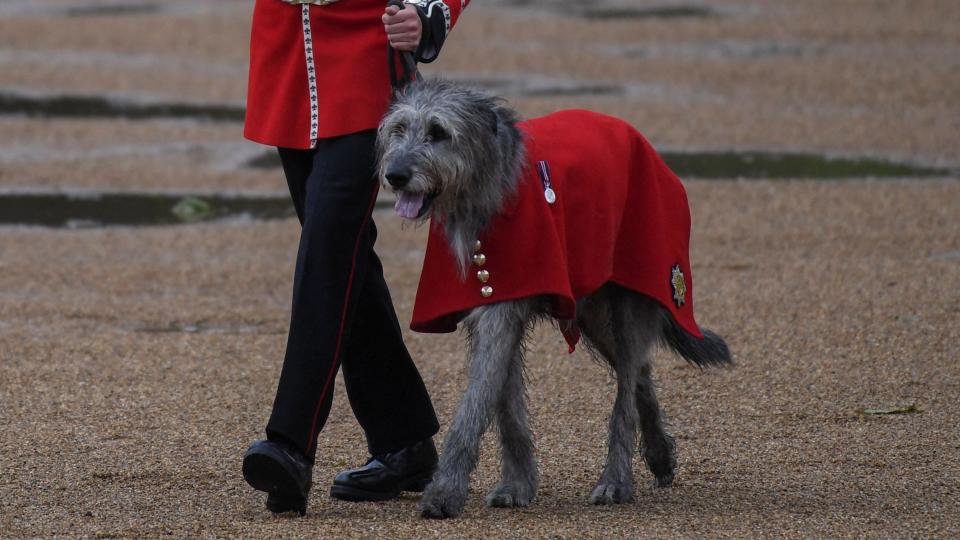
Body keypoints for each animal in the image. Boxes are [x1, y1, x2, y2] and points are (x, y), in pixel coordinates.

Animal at [376, 78, 736, 516]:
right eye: (399, 129)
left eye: (438, 132)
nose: (395, 175)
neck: (487, 194)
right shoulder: (497, 295)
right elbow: (506, 404)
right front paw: (517, 484)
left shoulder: (502, 306)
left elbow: (476, 402)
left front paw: (444, 491)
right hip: (591, 308)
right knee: (640, 371)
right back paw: (659, 454)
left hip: (633, 291)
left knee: (627, 383)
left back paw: (616, 479)